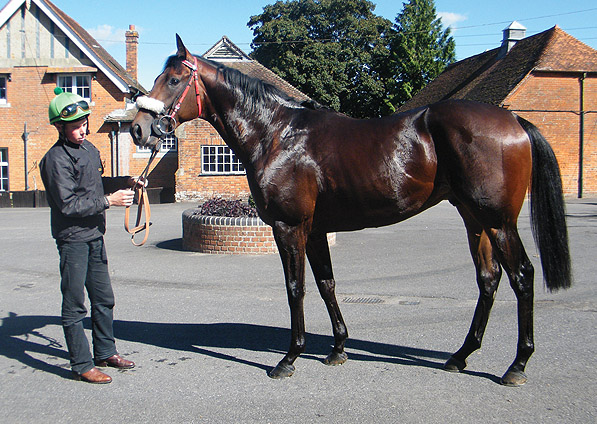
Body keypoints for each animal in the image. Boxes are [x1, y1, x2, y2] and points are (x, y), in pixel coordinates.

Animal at [130, 35, 568, 388]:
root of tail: (513, 120)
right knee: (488, 280)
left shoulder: (289, 227)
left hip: (498, 221)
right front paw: (338, 348)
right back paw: (460, 356)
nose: (138, 128)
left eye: (173, 80)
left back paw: (516, 365)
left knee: (522, 277)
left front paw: (289, 358)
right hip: (474, 219)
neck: (277, 134)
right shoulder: (314, 229)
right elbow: (327, 284)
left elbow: (295, 288)